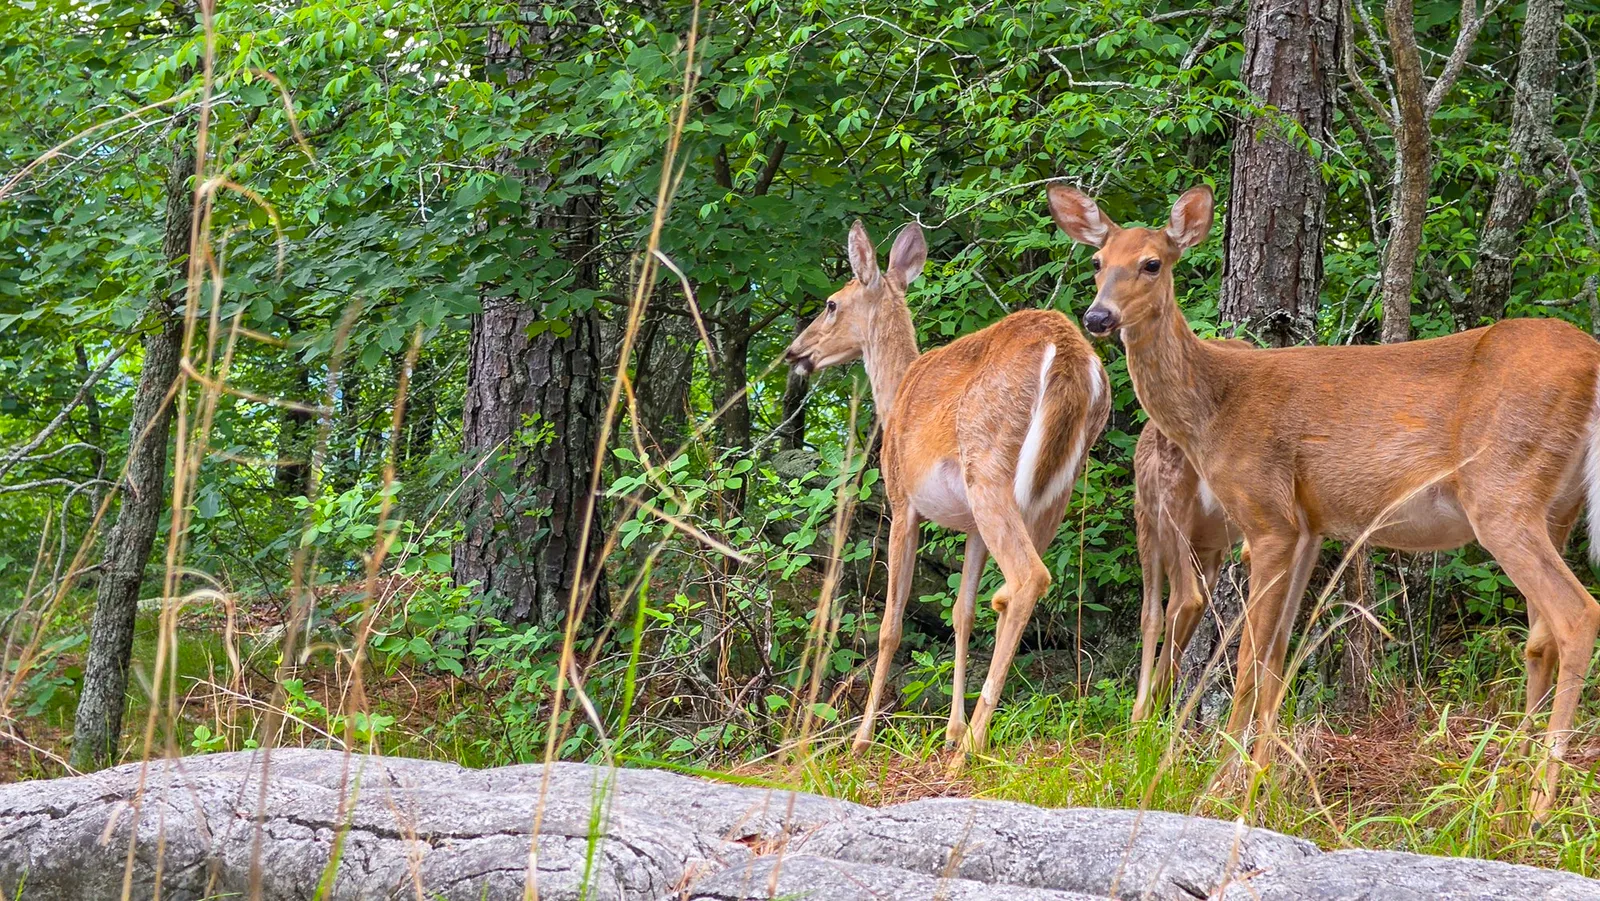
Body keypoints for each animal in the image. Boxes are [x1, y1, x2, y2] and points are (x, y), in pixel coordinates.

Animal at [784, 219, 1110, 759]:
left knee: (1028, 578)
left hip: (990, 469)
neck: (894, 394)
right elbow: (962, 613)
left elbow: (891, 624)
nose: (795, 353)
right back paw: (971, 735)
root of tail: (1069, 353)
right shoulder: (971, 528)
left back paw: (973, 746)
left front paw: (862, 739)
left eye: (832, 303)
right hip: (1057, 489)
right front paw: (951, 727)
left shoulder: (902, 501)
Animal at [1048, 182, 1600, 821]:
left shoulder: (1267, 516)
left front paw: (1220, 786)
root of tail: (1593, 364)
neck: (1215, 407)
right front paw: (1260, 781)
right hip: (1555, 507)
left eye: (1152, 263)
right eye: (1096, 263)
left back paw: (1538, 803)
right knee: (1539, 639)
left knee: (1577, 614)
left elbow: (1247, 664)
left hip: (1503, 493)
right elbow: (1277, 659)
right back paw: (1502, 787)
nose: (1098, 317)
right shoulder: (1309, 525)